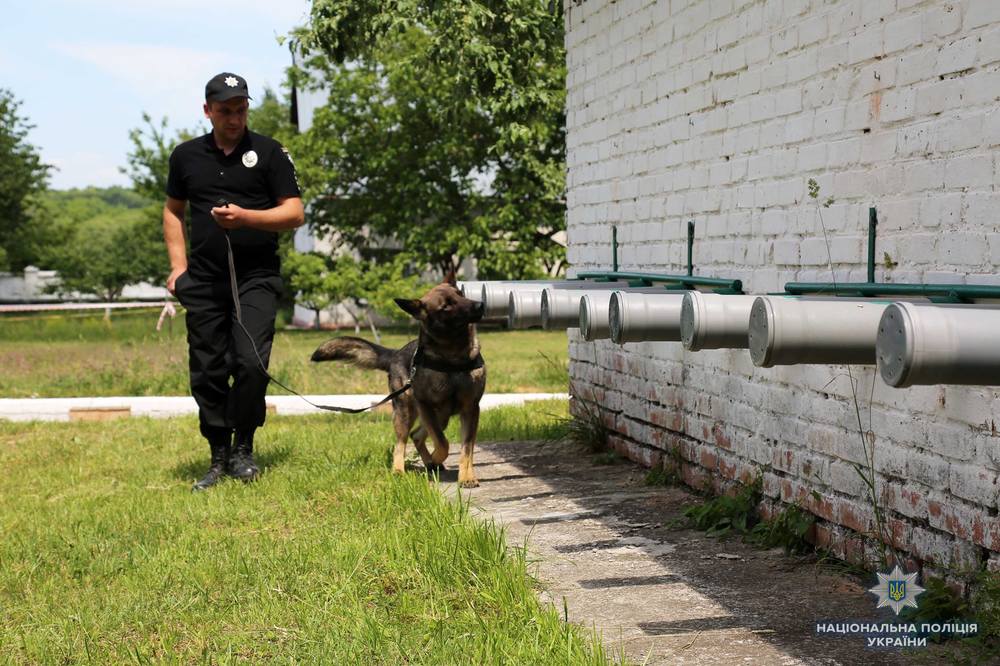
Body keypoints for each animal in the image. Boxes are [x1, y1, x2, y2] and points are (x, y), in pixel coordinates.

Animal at [310, 273, 487, 487]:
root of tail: (395, 354)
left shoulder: (471, 409)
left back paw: (429, 463)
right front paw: (437, 458)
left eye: (461, 294)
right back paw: (399, 470)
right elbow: (442, 443)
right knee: (402, 441)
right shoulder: (425, 405)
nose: (480, 305)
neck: (453, 358)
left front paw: (466, 477)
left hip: (440, 415)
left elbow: (466, 449)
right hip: (406, 413)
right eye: (446, 306)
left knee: (417, 436)